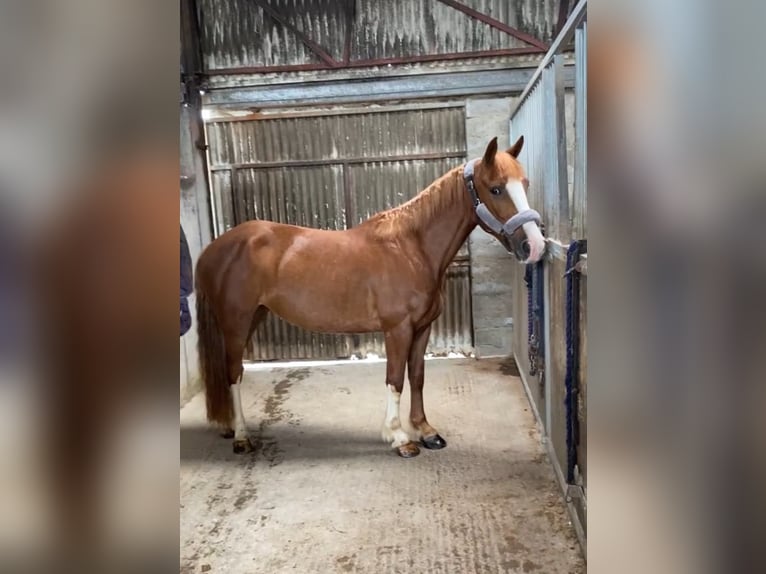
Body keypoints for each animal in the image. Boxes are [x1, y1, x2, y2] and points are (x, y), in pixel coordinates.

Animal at [198, 135, 544, 460]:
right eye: (496, 189)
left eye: (525, 184)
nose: (535, 245)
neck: (412, 249)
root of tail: (214, 249)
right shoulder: (397, 330)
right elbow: (396, 379)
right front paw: (400, 438)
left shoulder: (422, 328)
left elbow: (417, 376)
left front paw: (425, 431)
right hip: (236, 324)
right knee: (234, 373)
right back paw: (242, 437)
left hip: (255, 315)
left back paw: (230, 427)